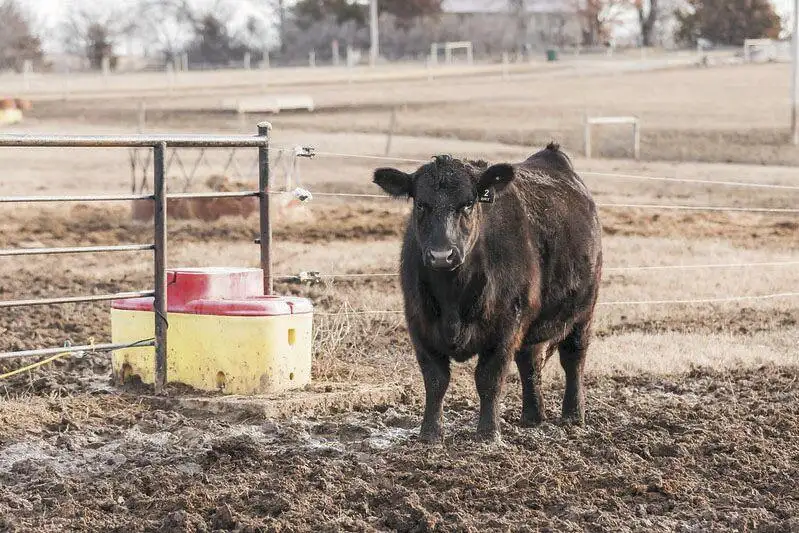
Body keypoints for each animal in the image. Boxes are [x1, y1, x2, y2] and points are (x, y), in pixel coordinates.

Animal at [373, 143, 603, 442]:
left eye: (468, 203)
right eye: (421, 204)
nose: (441, 255)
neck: (452, 298)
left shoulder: (505, 326)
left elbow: (489, 378)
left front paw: (488, 432)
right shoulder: (419, 324)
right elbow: (435, 380)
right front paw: (430, 432)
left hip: (584, 310)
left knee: (574, 358)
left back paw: (573, 416)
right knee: (530, 362)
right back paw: (532, 417)